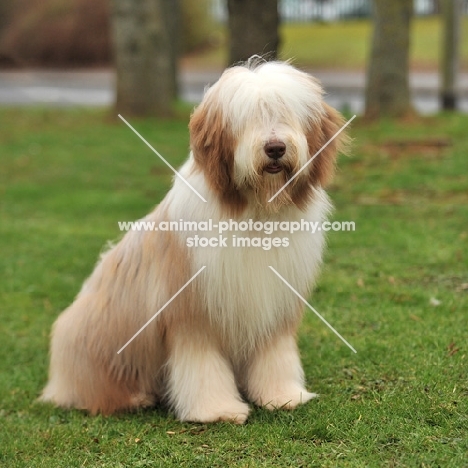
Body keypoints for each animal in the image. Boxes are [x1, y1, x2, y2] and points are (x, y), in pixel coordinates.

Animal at [39, 59, 348, 424]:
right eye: (247, 119)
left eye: (286, 113)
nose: (275, 148)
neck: (255, 211)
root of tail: (58, 379)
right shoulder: (192, 311)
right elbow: (202, 365)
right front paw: (217, 410)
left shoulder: (275, 305)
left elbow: (275, 353)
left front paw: (282, 395)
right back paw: (134, 397)